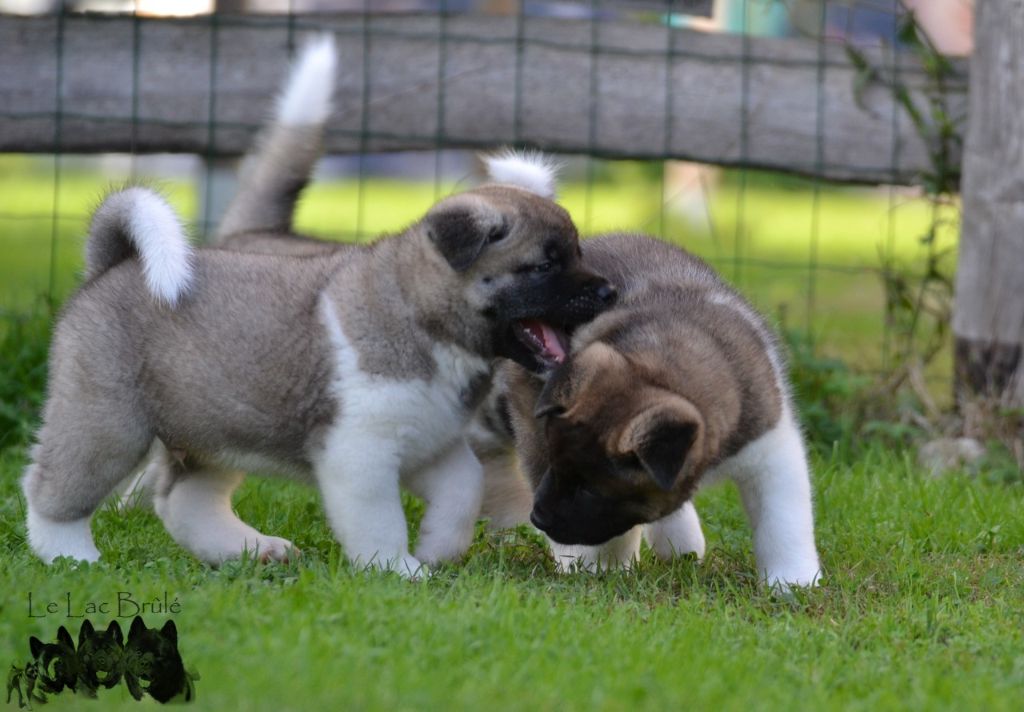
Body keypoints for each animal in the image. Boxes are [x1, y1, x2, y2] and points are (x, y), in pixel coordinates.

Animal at [21, 36, 616, 577]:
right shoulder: (361, 455)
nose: (609, 292)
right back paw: (71, 556)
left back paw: (249, 550)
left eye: (577, 252)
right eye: (544, 265)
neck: (423, 317)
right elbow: (381, 521)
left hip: (216, 425)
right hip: (108, 422)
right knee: (51, 487)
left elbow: (463, 492)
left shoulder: (430, 445)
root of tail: (114, 264)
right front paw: (400, 569)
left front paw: (436, 550)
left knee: (184, 498)